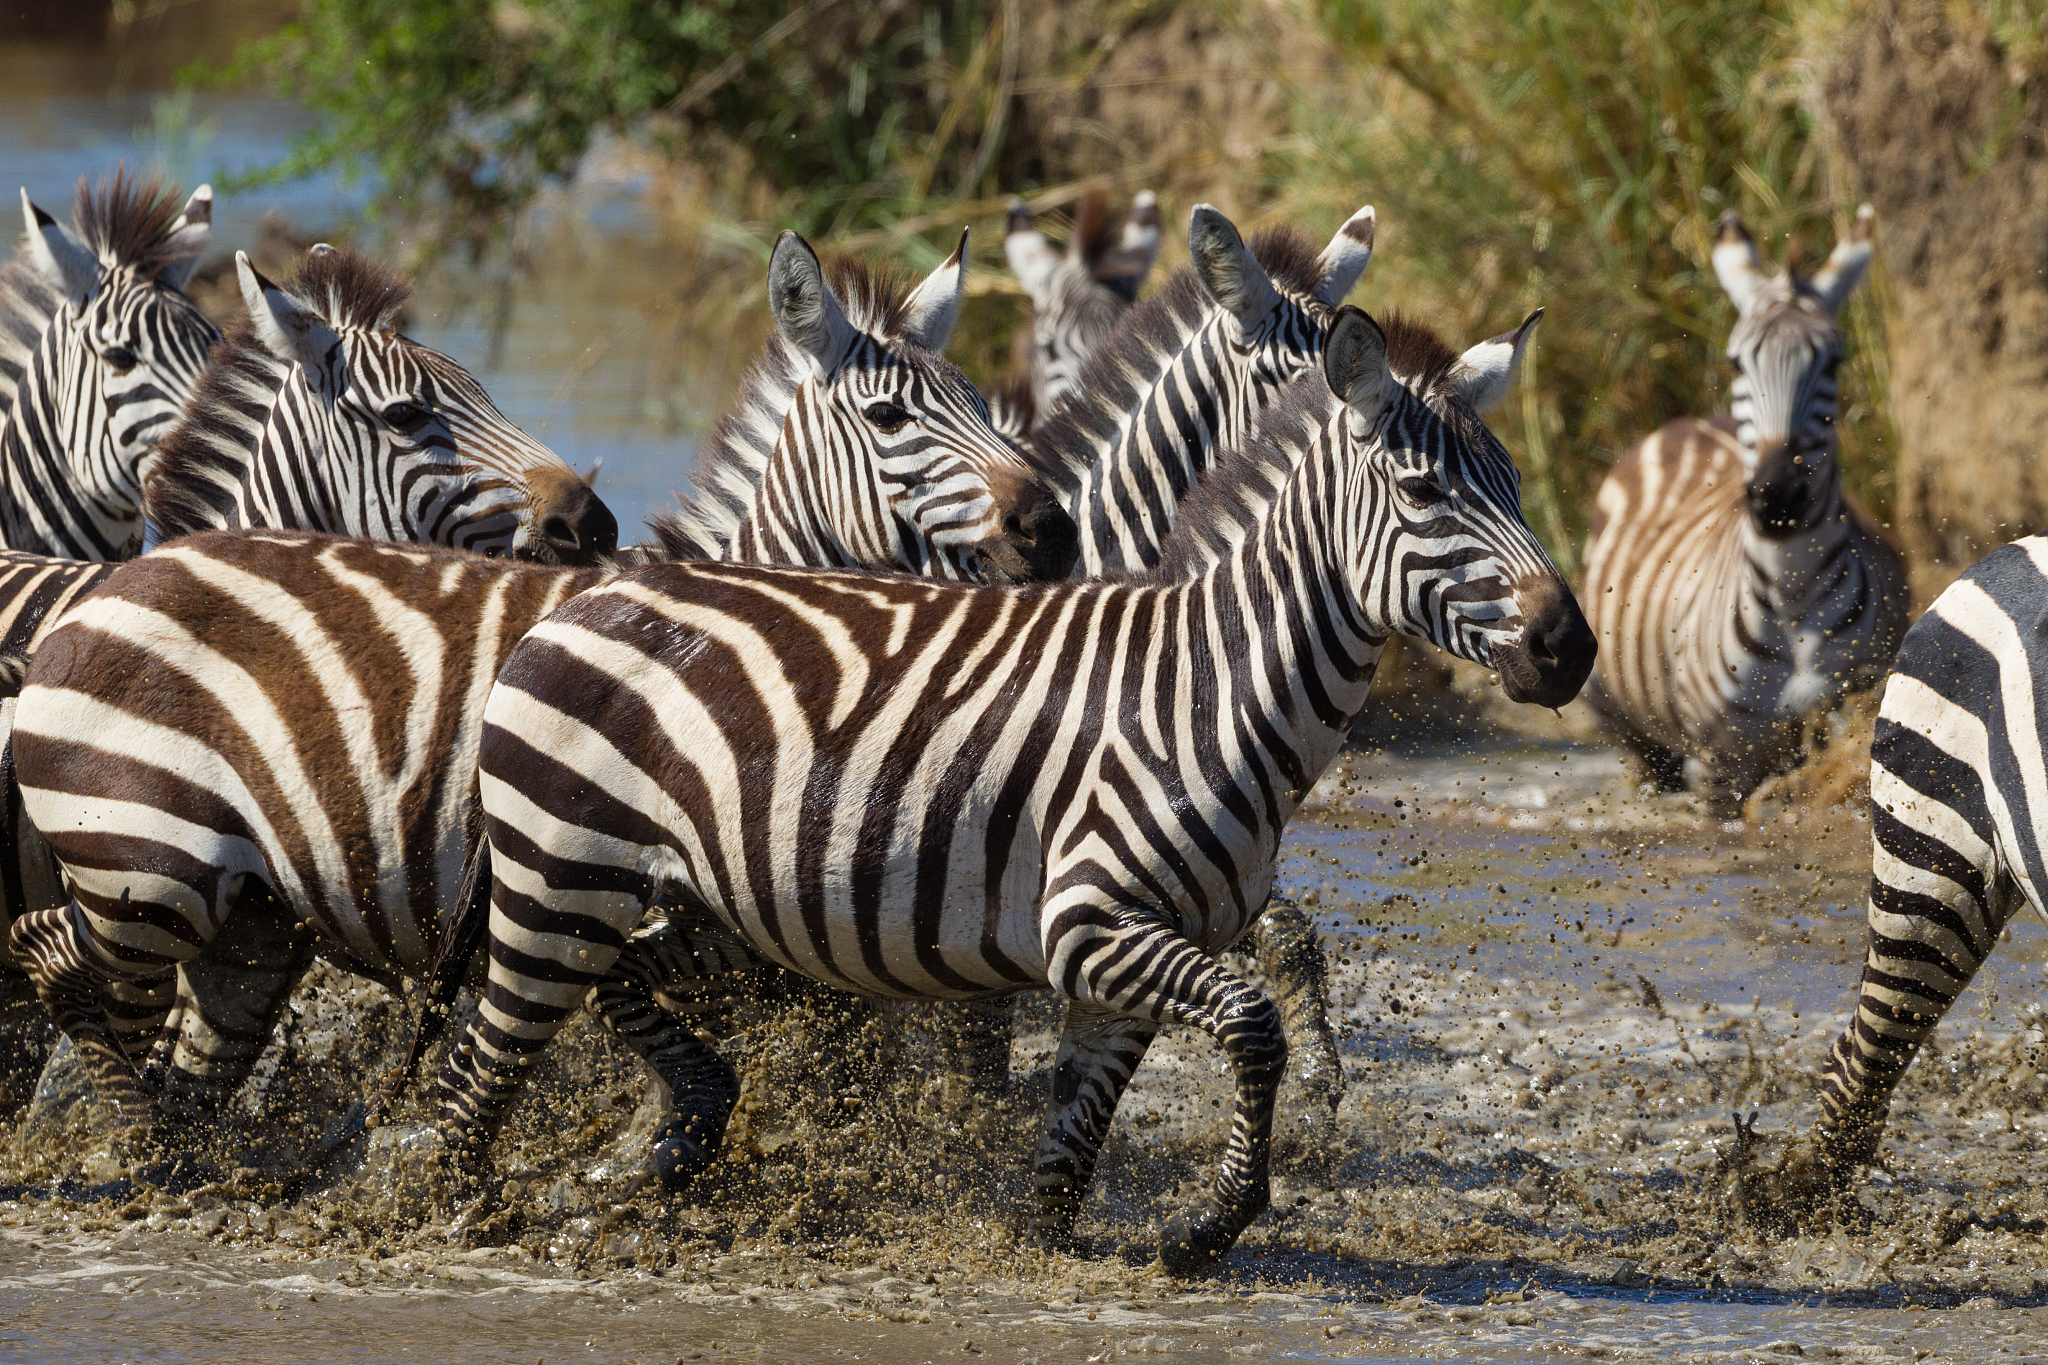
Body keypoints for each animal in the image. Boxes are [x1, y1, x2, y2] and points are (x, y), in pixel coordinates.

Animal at [427, 304, 1594, 1273]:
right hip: (560, 876)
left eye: (1516, 489)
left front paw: (1036, 1234)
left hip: (691, 906)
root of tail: (582, 598)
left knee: (613, 986)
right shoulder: (1090, 924)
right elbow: (1253, 1021)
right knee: (480, 1066)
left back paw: (672, 1141)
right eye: (1424, 492)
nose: (1572, 649)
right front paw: (1208, 1228)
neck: (1205, 690)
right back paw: (453, 1212)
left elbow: (1078, 1126)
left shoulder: (1119, 957)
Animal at [1581, 205, 1909, 818]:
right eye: (1737, 362)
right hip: (1618, 714)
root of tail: (1689, 422)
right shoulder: (1720, 768)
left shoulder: (1847, 719)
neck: (1793, 589)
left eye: (1833, 363)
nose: (1776, 496)